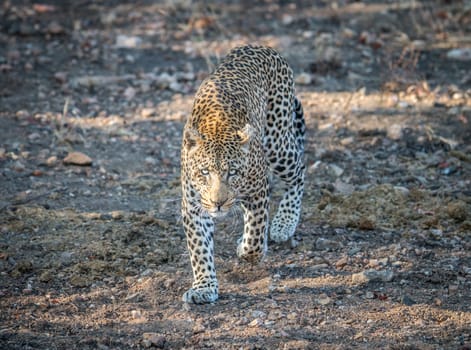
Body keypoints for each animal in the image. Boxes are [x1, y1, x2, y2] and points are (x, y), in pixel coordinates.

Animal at [181, 45, 306, 304]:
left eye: (233, 173)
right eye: (204, 172)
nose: (218, 203)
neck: (216, 127)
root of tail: (261, 47)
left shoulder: (257, 191)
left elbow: (255, 237)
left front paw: (246, 250)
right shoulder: (193, 205)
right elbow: (200, 249)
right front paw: (204, 287)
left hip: (278, 144)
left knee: (299, 171)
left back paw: (284, 223)